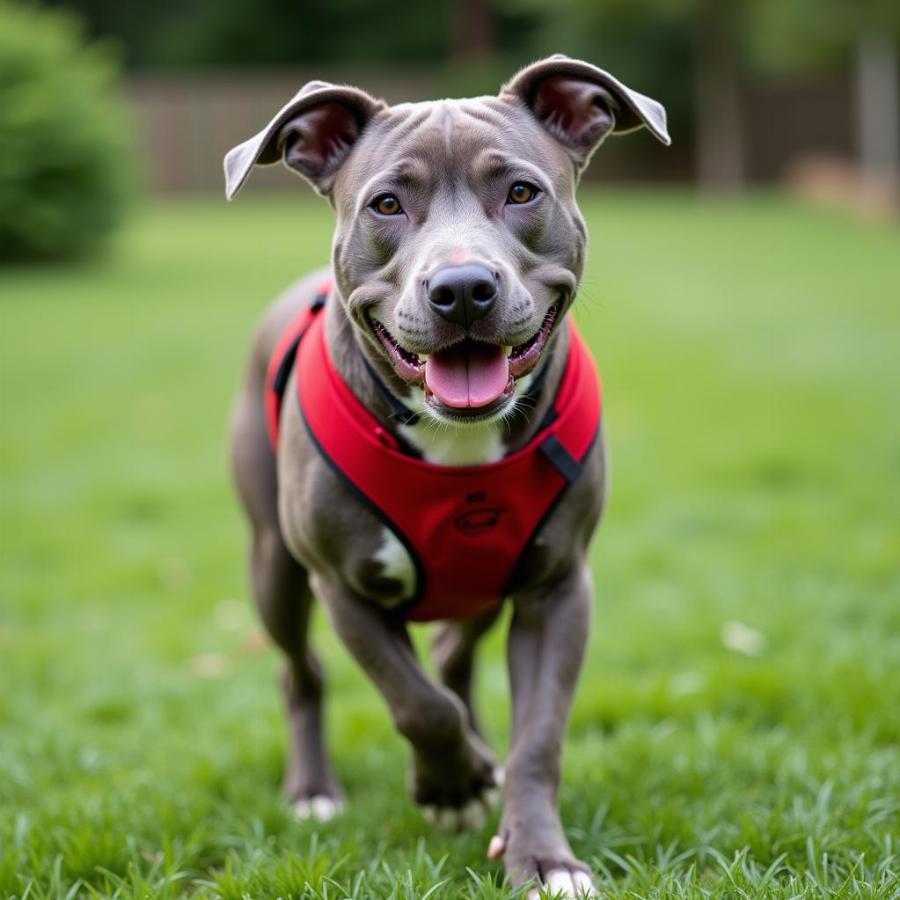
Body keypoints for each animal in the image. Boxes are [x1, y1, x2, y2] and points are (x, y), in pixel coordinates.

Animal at [227, 58, 668, 900]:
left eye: (522, 192)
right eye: (386, 204)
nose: (462, 286)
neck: (458, 442)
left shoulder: (558, 589)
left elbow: (537, 736)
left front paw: (542, 854)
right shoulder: (345, 587)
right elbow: (416, 705)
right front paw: (449, 787)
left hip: (481, 589)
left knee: (453, 661)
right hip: (275, 567)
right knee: (303, 673)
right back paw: (316, 790)